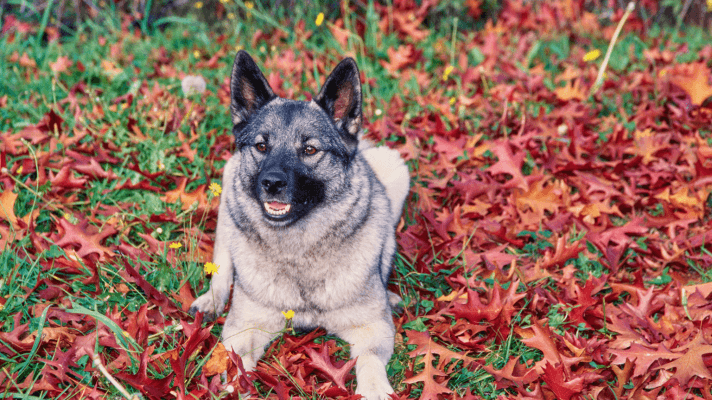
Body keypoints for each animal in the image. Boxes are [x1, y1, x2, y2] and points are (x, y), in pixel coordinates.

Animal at [189, 50, 412, 400]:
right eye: (261, 146)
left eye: (309, 150)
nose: (271, 183)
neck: (298, 250)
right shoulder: (244, 329)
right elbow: (236, 365)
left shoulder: (373, 329)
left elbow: (370, 361)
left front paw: (375, 388)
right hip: (228, 191)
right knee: (224, 261)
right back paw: (211, 299)